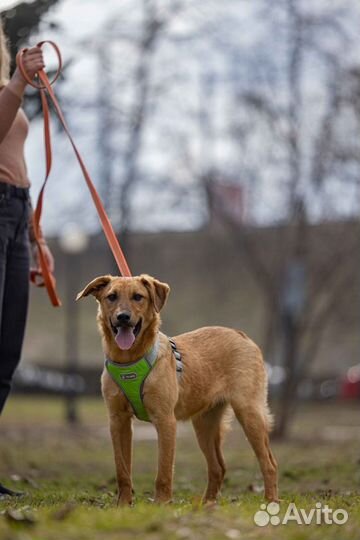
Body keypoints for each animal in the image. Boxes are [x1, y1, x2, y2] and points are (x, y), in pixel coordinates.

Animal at [76, 274, 278, 506]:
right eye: (111, 296)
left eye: (138, 297)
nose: (123, 317)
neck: (129, 360)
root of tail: (241, 335)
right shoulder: (118, 421)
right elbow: (122, 470)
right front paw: (123, 506)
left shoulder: (165, 420)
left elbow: (164, 471)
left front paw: (162, 504)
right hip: (204, 424)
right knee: (218, 467)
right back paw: (207, 504)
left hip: (249, 413)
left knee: (269, 463)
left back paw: (271, 501)